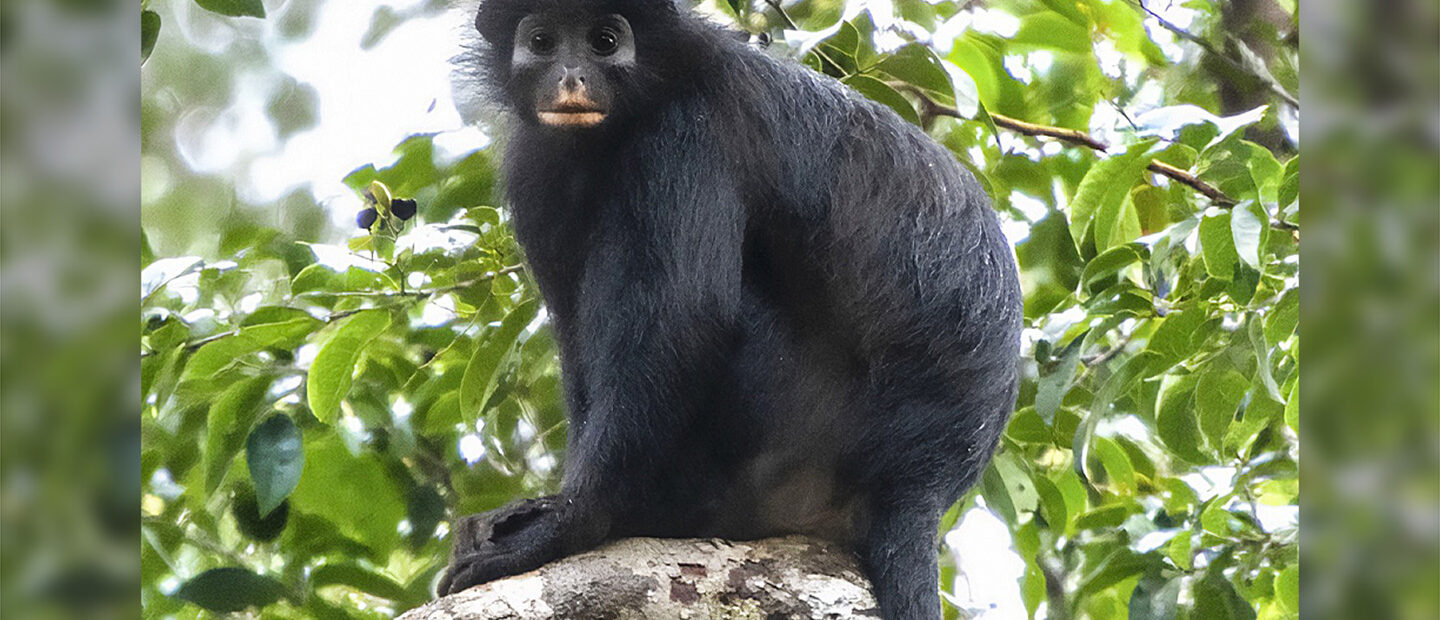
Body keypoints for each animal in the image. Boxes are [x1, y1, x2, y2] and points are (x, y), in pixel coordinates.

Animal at [439, 0, 1022, 617]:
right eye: (542, 42)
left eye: (604, 42)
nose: (571, 77)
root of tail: (920, 484)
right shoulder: (535, 167)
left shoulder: (686, 134)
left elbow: (686, 320)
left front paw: (574, 522)